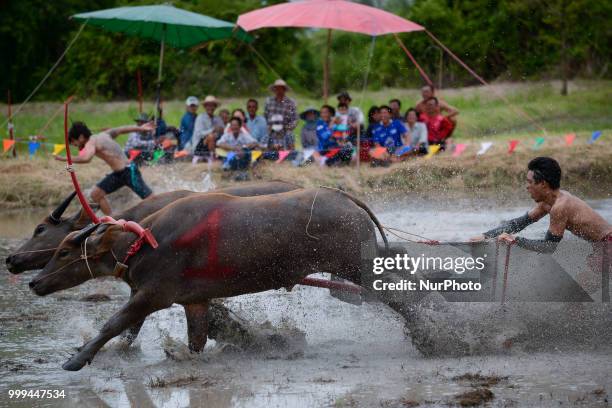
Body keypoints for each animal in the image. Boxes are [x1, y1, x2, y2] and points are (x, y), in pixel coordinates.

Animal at [29, 188, 388, 370]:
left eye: (64, 252)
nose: (35, 282)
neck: (143, 242)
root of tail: (347, 201)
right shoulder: (194, 302)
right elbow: (193, 340)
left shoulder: (153, 295)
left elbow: (114, 324)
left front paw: (77, 360)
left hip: (357, 268)